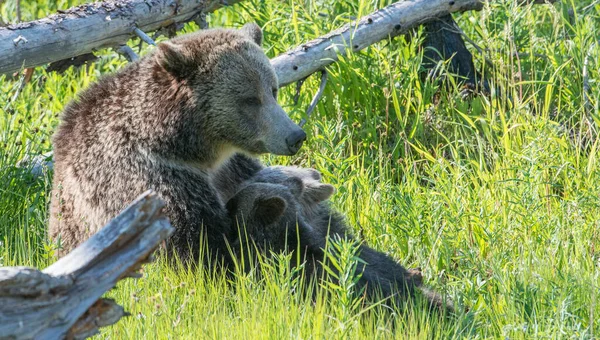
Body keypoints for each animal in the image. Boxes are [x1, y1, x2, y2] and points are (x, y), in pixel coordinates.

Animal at [49, 23, 308, 264]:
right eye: (250, 100)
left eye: (272, 90)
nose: (295, 136)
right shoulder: (155, 180)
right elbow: (198, 251)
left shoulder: (233, 166)